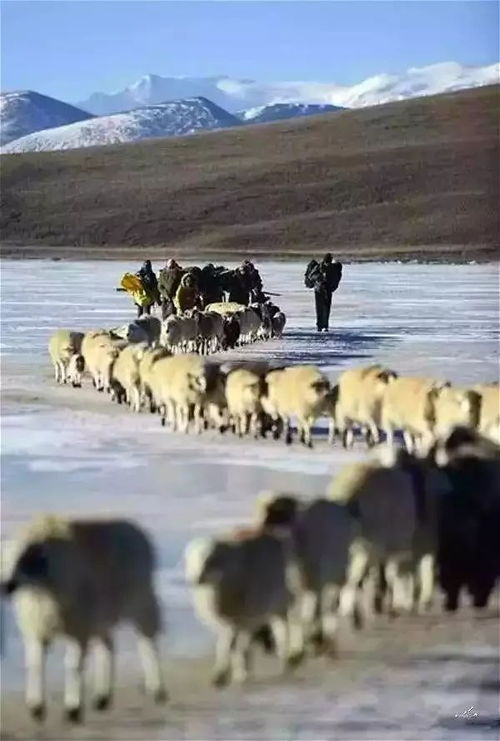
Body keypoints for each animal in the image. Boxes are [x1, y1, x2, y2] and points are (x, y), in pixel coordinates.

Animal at [0, 516, 168, 724]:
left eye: (23, 560)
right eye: (5, 561)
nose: (6, 586)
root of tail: (137, 530)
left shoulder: (78, 630)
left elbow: (72, 665)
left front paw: (73, 709)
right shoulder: (37, 631)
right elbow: (35, 665)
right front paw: (37, 709)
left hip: (142, 603)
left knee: (147, 643)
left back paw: (157, 690)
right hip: (101, 617)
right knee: (108, 647)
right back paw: (102, 698)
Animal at [186, 528, 302, 684]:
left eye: (209, 559)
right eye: (190, 560)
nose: (196, 580)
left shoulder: (244, 617)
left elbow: (232, 644)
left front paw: (226, 674)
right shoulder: (230, 620)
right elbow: (231, 643)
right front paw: (237, 673)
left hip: (285, 599)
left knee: (290, 625)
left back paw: (292, 656)